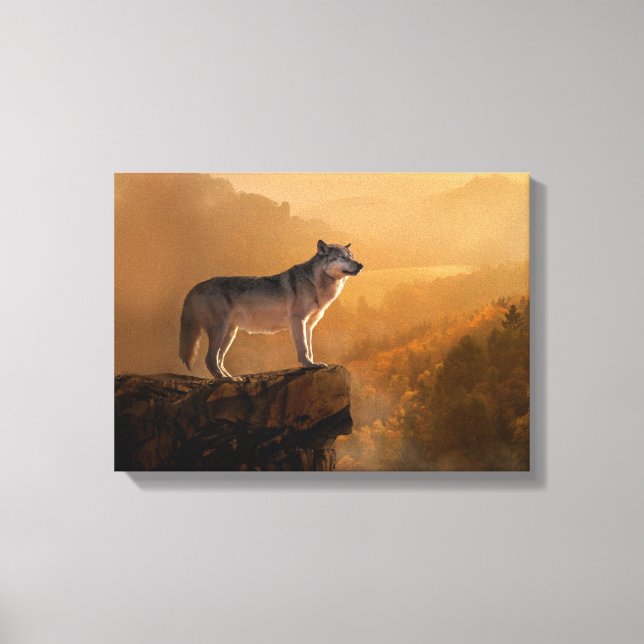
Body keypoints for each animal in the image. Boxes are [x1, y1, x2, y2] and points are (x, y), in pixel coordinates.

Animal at [179, 240, 363, 378]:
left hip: (230, 333)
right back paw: (228, 380)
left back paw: (232, 378)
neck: (315, 283)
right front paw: (309, 365)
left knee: (218, 359)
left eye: (352, 257)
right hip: (221, 330)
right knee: (210, 359)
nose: (360, 265)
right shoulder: (297, 321)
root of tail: (194, 287)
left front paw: (313, 363)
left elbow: (310, 349)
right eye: (342, 258)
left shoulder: (309, 325)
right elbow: (303, 349)